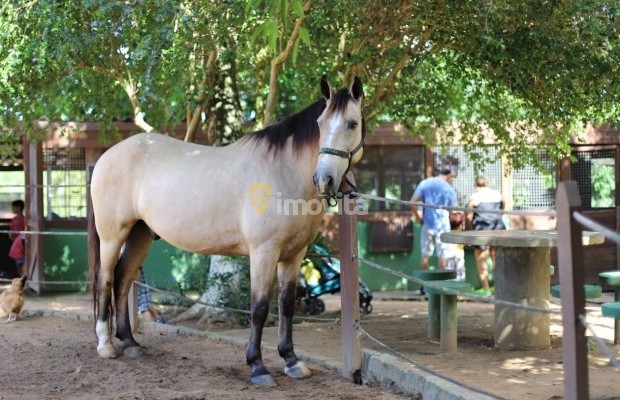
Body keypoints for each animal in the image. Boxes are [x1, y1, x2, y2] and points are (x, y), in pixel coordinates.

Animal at [89, 76, 366, 388]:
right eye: (320, 124)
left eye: (352, 123)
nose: (324, 179)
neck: (283, 172)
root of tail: (107, 156)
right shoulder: (263, 252)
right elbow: (259, 308)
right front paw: (258, 367)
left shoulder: (294, 255)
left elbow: (286, 305)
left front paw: (292, 361)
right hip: (112, 236)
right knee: (105, 280)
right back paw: (106, 345)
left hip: (139, 234)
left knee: (123, 279)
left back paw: (130, 342)